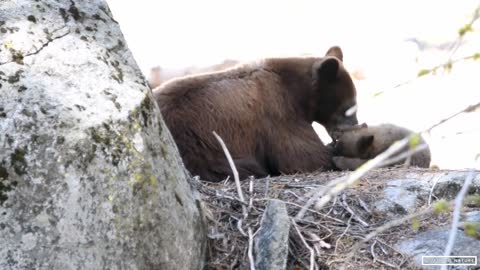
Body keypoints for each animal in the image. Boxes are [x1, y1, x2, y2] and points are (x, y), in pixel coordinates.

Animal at [152, 46, 358, 181]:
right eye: (349, 108)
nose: (354, 124)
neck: (297, 92)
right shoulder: (278, 112)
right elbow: (301, 155)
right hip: (200, 144)